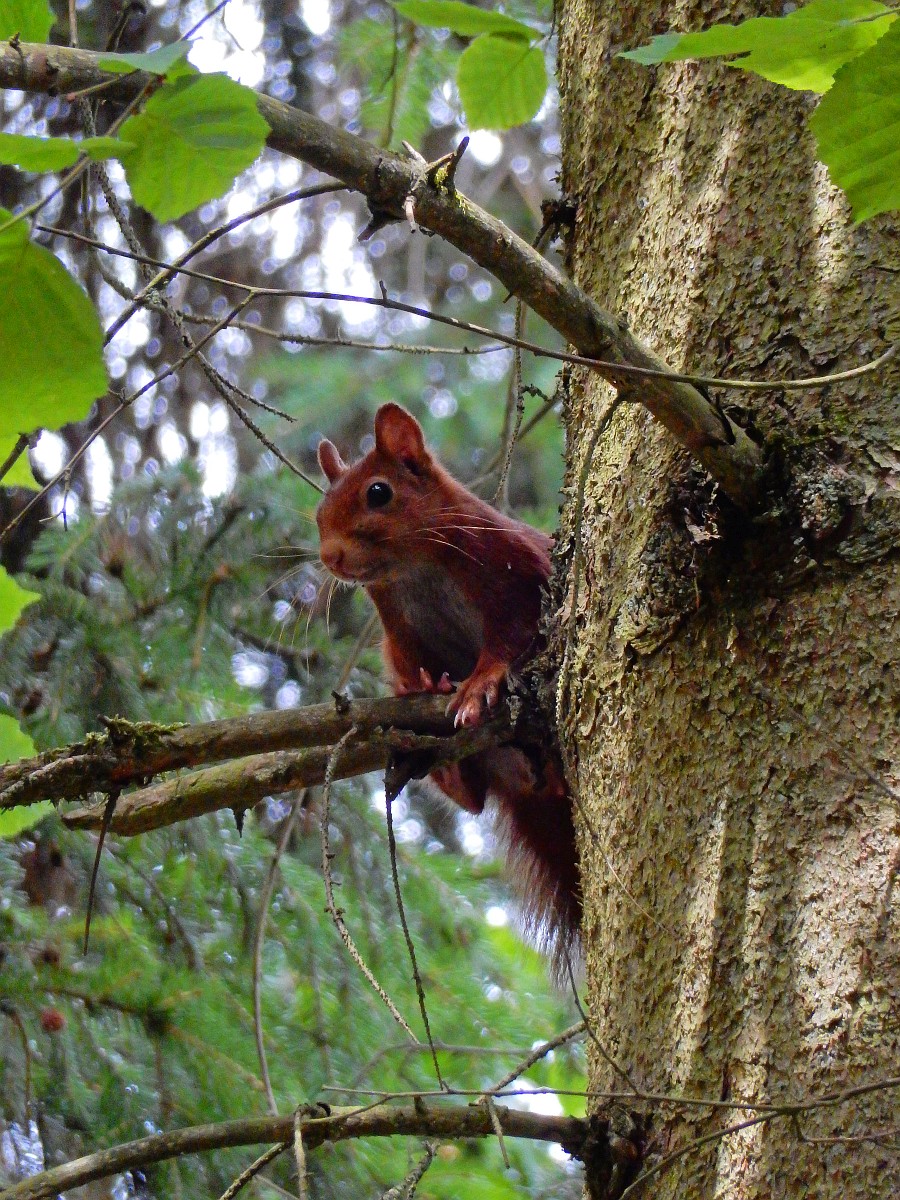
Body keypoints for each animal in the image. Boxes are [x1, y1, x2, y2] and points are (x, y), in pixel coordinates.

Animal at [316, 403, 579, 966]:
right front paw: (421, 687)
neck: (414, 570)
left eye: (378, 493)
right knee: (475, 799)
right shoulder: (399, 633)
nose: (330, 557)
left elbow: (509, 638)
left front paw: (481, 682)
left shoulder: (514, 574)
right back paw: (447, 769)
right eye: (319, 511)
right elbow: (411, 666)